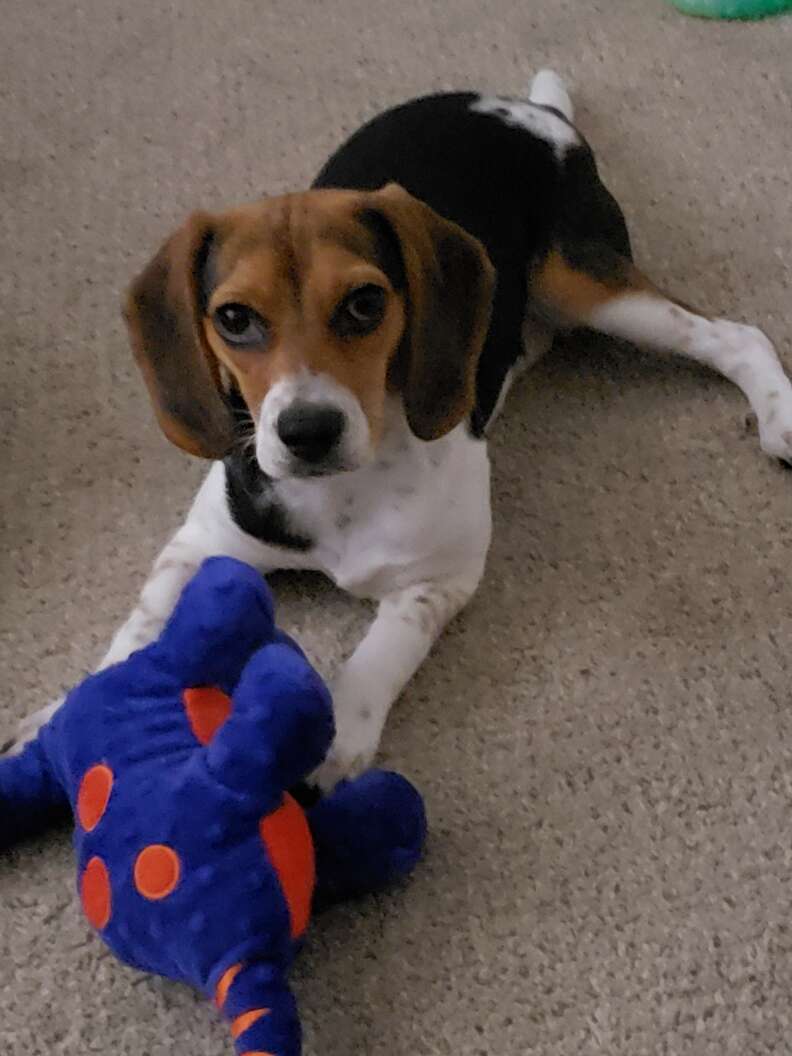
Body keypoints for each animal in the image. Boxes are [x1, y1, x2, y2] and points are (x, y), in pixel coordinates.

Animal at [6, 70, 792, 789]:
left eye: (364, 303)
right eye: (233, 318)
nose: (308, 431)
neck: (343, 492)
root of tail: (530, 110)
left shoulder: (437, 581)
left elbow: (374, 659)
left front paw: (328, 744)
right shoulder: (198, 545)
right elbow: (137, 632)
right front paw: (58, 719)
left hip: (586, 284)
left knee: (733, 335)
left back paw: (779, 416)